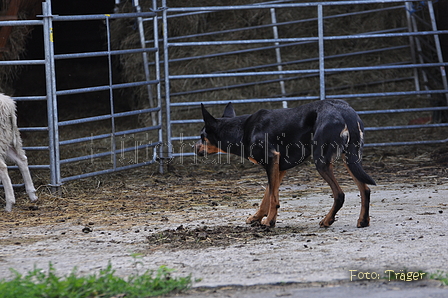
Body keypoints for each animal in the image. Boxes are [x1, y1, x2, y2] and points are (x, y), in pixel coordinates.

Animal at [195, 100, 374, 228]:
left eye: (202, 136)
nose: (194, 147)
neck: (241, 129)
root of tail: (345, 112)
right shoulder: (278, 167)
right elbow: (267, 195)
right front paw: (257, 217)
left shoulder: (271, 160)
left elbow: (273, 198)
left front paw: (269, 221)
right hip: (350, 158)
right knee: (365, 189)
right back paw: (363, 221)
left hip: (322, 161)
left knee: (339, 194)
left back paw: (327, 220)